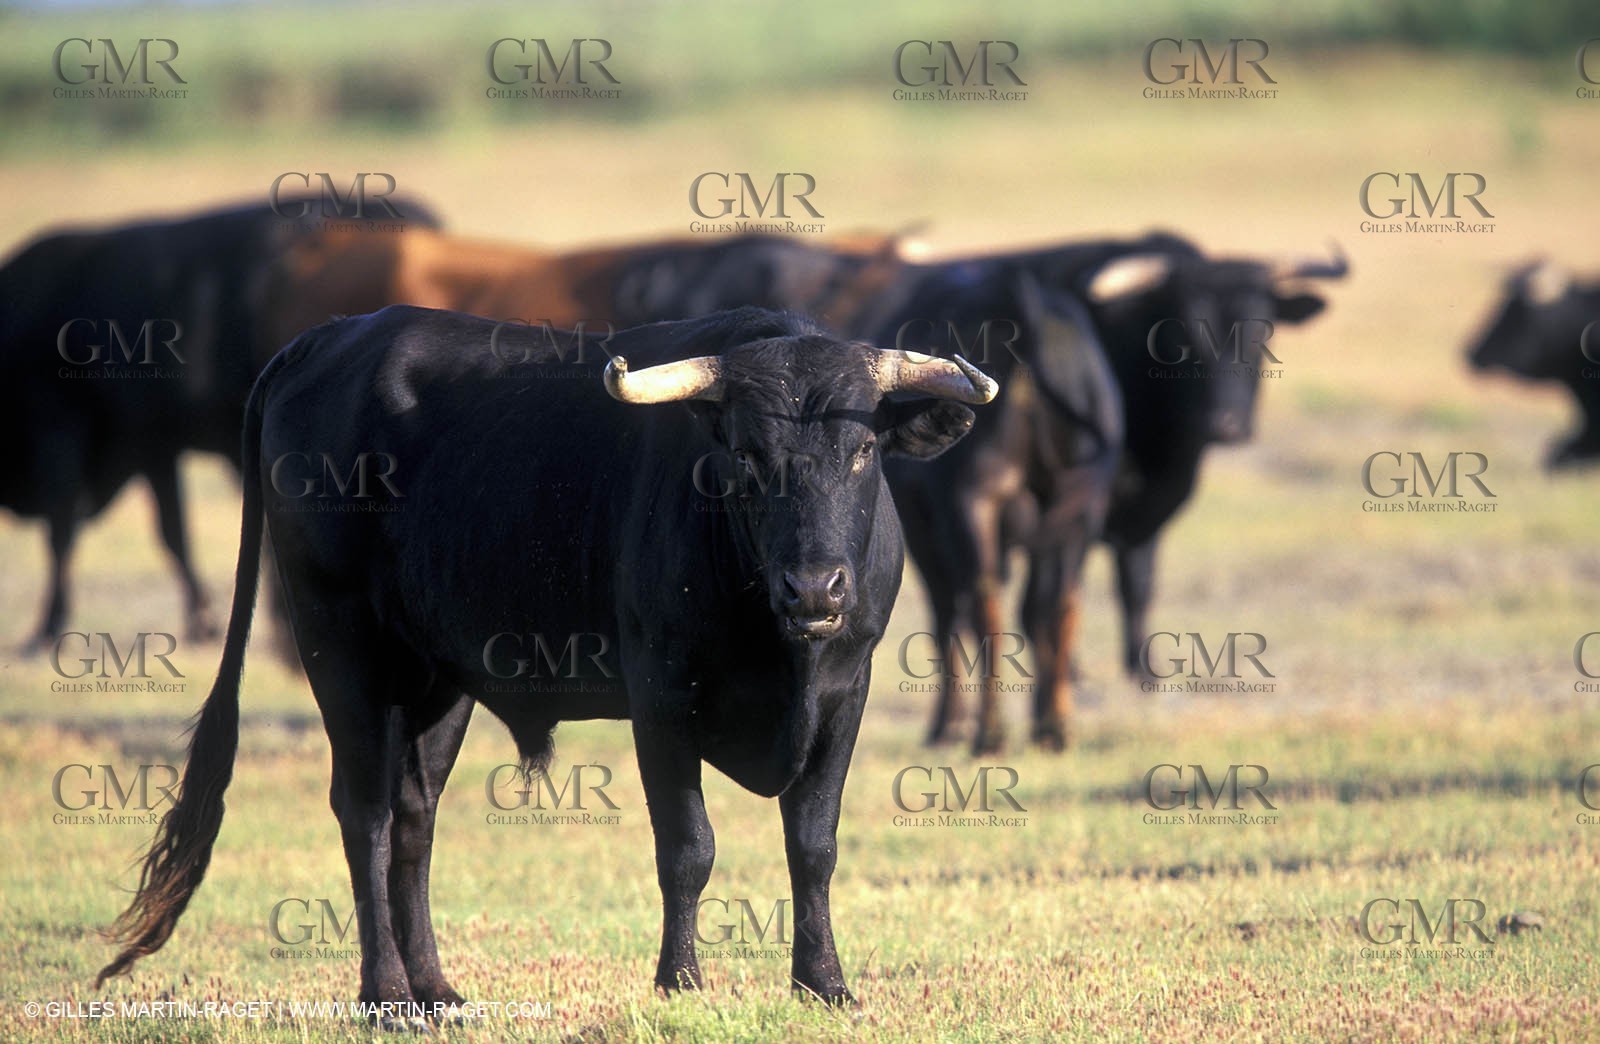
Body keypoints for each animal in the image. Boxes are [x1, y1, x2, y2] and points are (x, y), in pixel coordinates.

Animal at [97, 306, 996, 1014]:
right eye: (746, 455)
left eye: (862, 452)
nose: (814, 588)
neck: (780, 647)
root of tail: (330, 338)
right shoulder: (660, 697)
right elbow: (689, 847)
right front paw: (680, 982)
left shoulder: (847, 692)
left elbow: (814, 844)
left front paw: (823, 983)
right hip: (342, 650)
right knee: (366, 814)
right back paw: (386, 994)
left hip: (437, 681)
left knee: (415, 817)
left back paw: (436, 989)